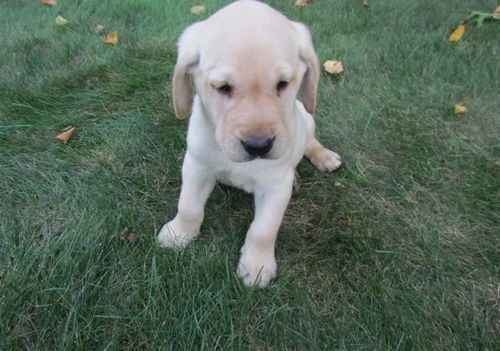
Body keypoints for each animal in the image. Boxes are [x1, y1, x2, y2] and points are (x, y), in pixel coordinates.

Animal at [158, 0, 342, 288]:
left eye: (283, 84)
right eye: (222, 87)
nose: (259, 145)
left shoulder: (275, 186)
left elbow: (263, 230)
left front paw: (257, 266)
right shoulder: (196, 165)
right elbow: (188, 205)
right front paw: (179, 233)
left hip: (306, 116)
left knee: (310, 142)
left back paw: (323, 158)